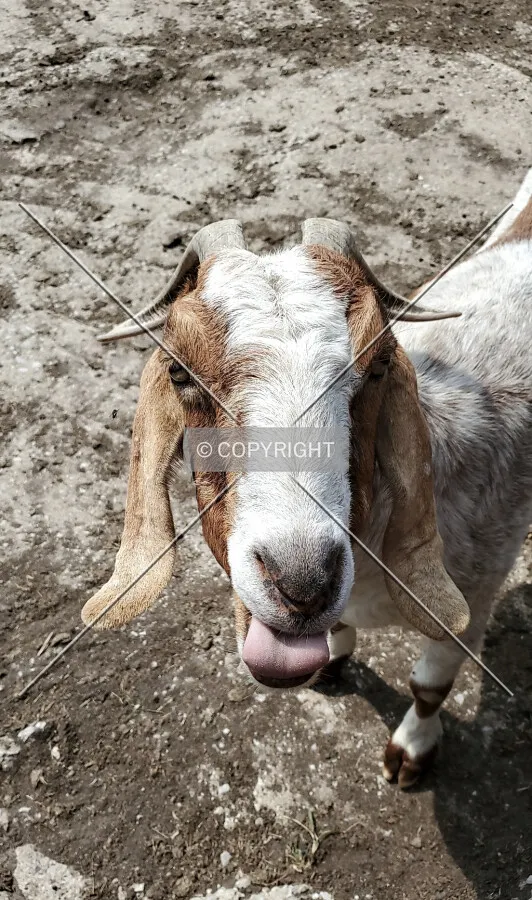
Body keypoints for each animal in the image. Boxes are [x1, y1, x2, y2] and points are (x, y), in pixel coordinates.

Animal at [82, 170, 532, 787]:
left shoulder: (474, 600)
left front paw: (411, 753)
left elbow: (429, 686)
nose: (302, 581)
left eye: (380, 364)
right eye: (179, 371)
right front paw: (335, 660)